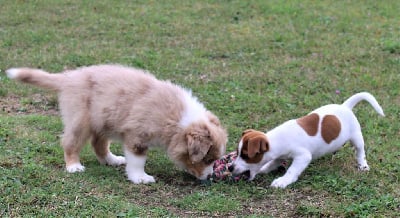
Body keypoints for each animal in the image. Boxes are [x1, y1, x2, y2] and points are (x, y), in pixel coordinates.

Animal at [4, 64, 227, 184]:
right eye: (207, 159)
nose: (209, 177)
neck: (179, 120)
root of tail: (69, 77)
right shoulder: (137, 135)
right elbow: (137, 160)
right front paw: (140, 178)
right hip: (80, 120)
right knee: (70, 142)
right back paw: (74, 166)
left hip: (104, 121)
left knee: (98, 144)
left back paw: (111, 160)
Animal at [231, 92, 384, 187]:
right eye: (237, 153)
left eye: (245, 155)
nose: (230, 167)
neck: (276, 140)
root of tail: (345, 106)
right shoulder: (280, 156)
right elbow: (271, 163)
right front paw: (265, 168)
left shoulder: (303, 156)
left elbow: (292, 170)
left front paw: (283, 181)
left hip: (356, 137)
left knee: (360, 151)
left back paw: (363, 165)